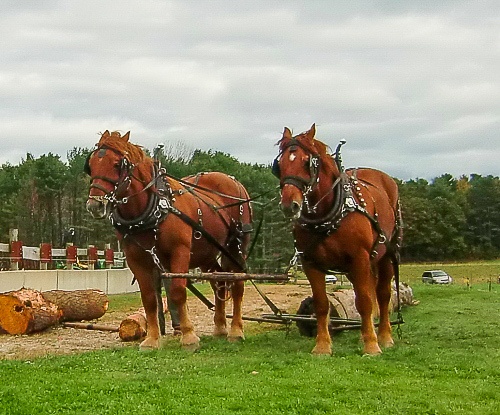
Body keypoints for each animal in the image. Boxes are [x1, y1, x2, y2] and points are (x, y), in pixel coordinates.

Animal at [84, 131, 254, 352]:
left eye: (116, 164)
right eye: (91, 165)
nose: (95, 205)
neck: (154, 207)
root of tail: (234, 182)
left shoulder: (179, 251)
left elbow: (178, 292)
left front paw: (189, 336)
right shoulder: (136, 259)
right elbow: (149, 298)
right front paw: (152, 340)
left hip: (236, 246)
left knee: (238, 284)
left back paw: (236, 331)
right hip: (207, 253)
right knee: (219, 282)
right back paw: (219, 328)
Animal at [274, 125, 402, 356]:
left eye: (307, 162)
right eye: (279, 165)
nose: (290, 205)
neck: (328, 214)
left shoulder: (359, 258)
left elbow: (364, 301)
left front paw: (372, 345)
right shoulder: (310, 263)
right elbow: (322, 304)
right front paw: (322, 346)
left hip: (385, 255)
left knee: (382, 295)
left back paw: (384, 337)